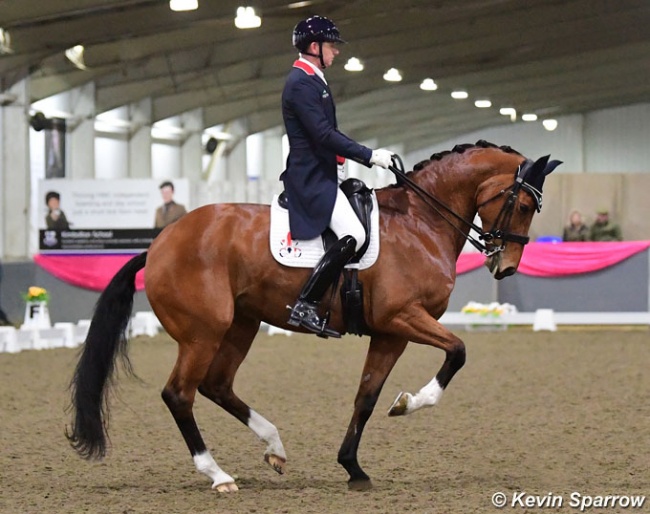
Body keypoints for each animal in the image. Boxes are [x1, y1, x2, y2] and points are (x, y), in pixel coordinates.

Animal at [68, 138, 560, 490]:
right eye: (521, 205)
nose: (505, 266)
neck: (421, 222)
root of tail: (158, 245)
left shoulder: (390, 333)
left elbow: (366, 396)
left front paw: (354, 468)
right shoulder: (403, 317)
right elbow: (457, 351)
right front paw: (409, 403)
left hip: (241, 324)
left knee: (216, 385)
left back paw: (274, 446)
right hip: (202, 332)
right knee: (179, 394)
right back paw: (218, 475)